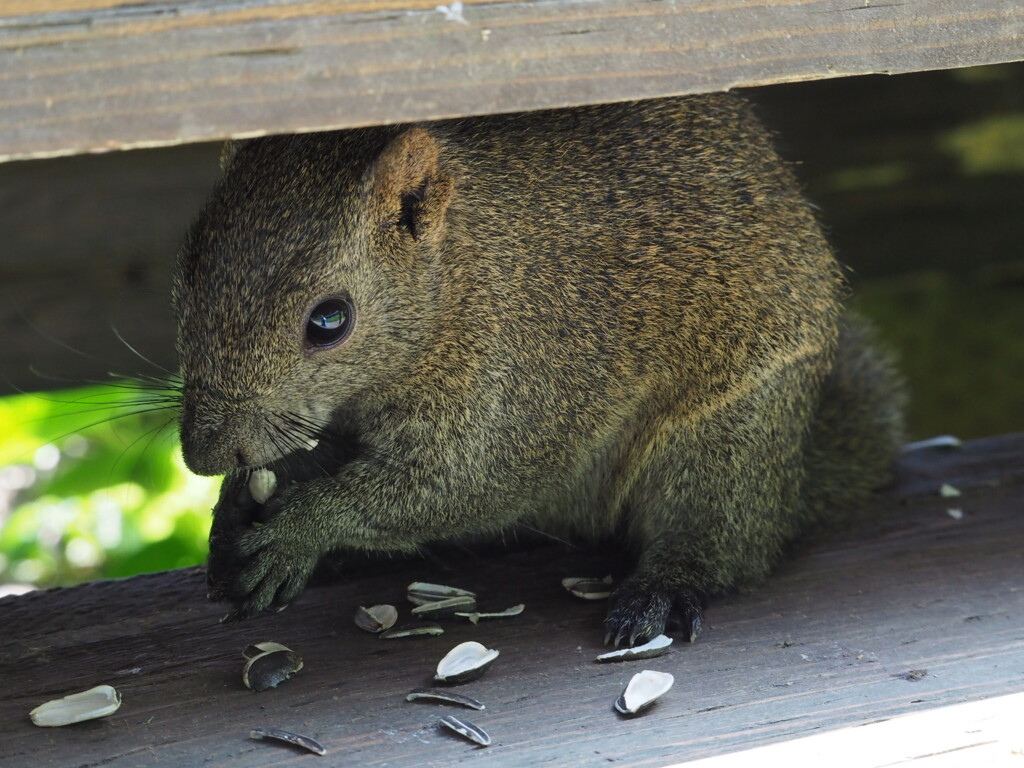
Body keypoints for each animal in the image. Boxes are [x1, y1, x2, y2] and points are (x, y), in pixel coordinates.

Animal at [174, 96, 905, 651]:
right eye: (187, 275)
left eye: (329, 320)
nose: (204, 454)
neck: (458, 278)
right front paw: (235, 510)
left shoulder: (530, 384)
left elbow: (460, 486)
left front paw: (300, 528)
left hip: (727, 437)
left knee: (721, 541)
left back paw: (663, 591)